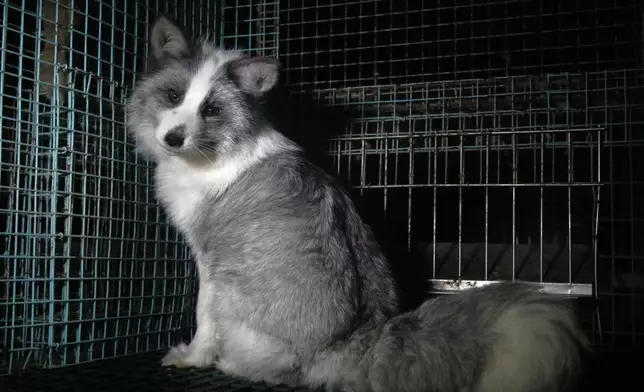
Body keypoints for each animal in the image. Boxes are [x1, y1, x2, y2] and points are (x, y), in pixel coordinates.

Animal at [126, 15, 588, 392]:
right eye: (173, 96)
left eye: (212, 110)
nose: (173, 139)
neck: (221, 151)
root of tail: (354, 341)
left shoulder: (209, 261)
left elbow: (202, 320)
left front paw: (192, 358)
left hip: (234, 297)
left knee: (276, 370)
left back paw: (231, 366)